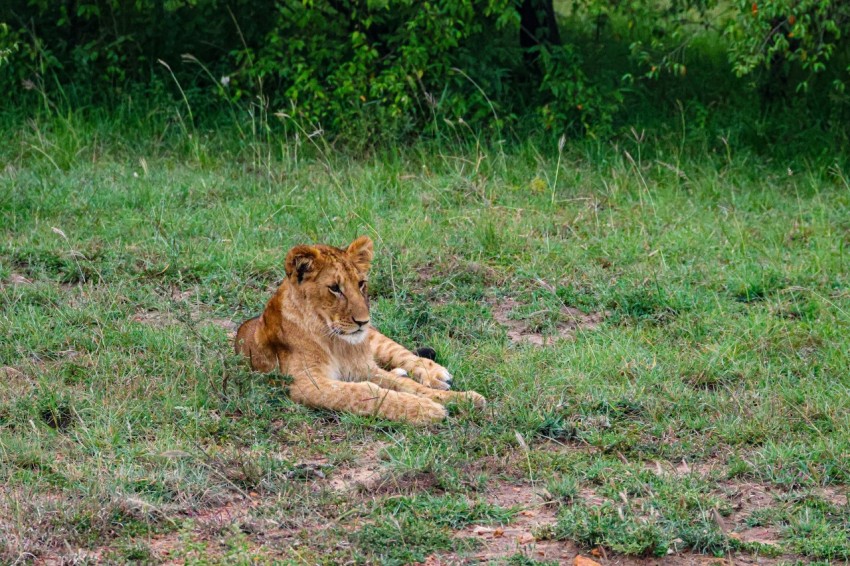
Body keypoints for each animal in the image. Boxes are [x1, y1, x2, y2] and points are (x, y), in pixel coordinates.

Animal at [234, 236, 484, 426]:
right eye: (335, 288)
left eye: (361, 283)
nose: (363, 321)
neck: (335, 341)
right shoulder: (306, 384)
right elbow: (364, 392)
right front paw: (426, 409)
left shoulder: (363, 368)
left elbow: (409, 386)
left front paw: (462, 398)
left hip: (377, 340)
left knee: (403, 354)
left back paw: (435, 374)